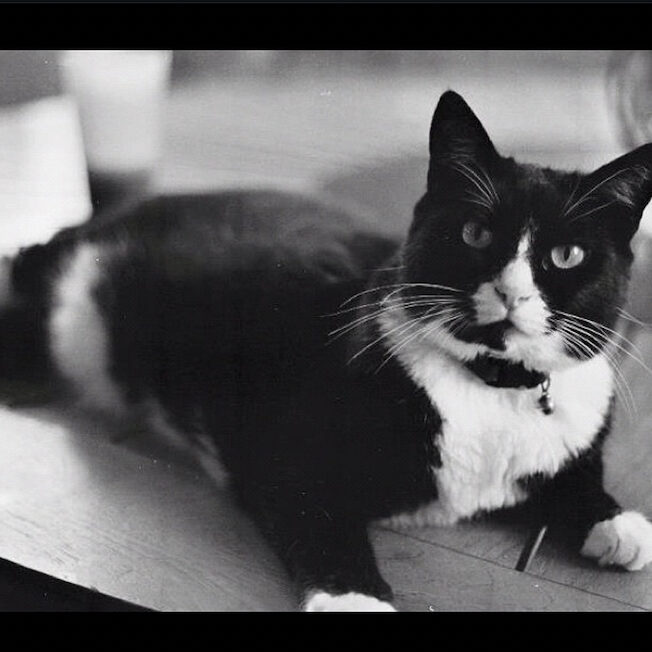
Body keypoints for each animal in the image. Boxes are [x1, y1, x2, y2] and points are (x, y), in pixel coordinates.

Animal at [1, 90, 652, 612]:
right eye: (475, 233)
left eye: (567, 255)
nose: (512, 292)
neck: (492, 388)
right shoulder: (283, 451)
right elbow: (320, 518)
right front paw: (354, 598)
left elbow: (576, 475)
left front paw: (614, 520)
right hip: (64, 314)